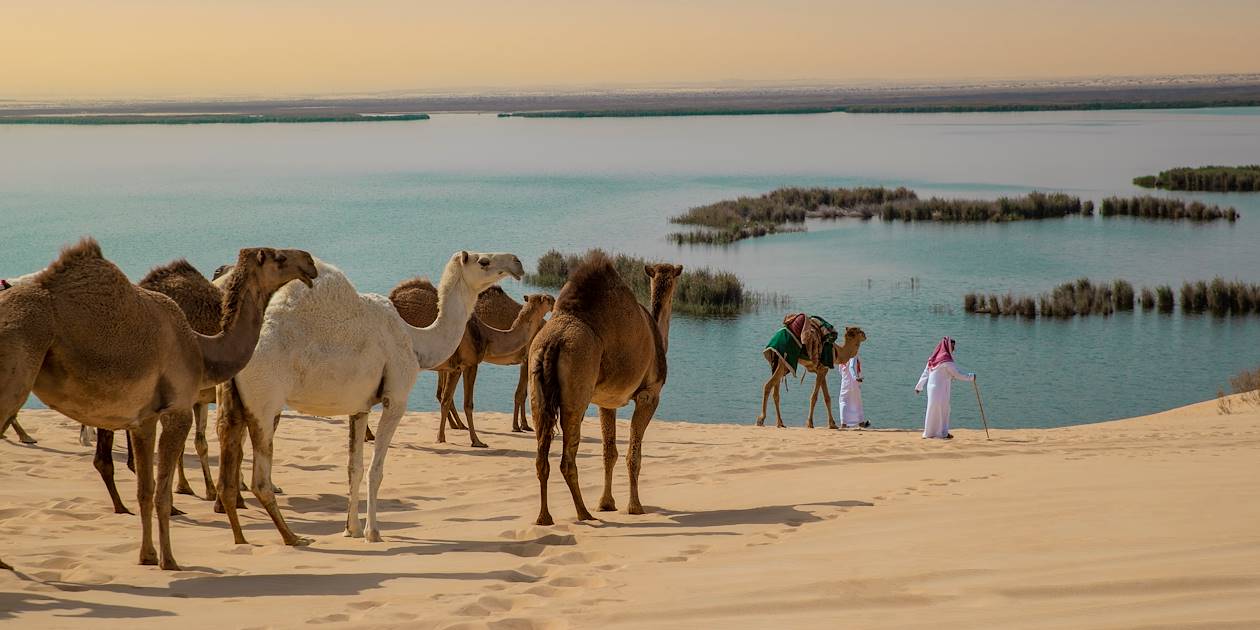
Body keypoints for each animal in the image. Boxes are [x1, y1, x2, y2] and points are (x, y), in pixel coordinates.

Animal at [0, 236, 315, 572]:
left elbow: (145, 490)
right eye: (280, 257)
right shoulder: (178, 411)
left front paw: (147, 555)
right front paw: (169, 560)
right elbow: (162, 491)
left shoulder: (144, 420)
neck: (203, 350)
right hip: (17, 371)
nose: (310, 262)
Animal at [216, 248, 521, 544]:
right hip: (264, 403)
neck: (415, 341)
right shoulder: (395, 399)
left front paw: (350, 529)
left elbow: (355, 467)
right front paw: (372, 532)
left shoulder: (359, 407)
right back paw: (293, 538)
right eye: (484, 261)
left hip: (234, 403)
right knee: (261, 479)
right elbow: (376, 469)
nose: (516, 263)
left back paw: (241, 538)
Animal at [390, 280, 554, 448]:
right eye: (547, 299)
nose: (554, 300)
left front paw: (442, 437)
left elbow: (446, 399)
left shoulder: (456, 368)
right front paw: (476, 441)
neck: (487, 335)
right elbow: (468, 403)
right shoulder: (472, 364)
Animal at [524, 253, 680, 524]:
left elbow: (609, 453)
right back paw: (583, 513)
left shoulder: (606, 402)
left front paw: (606, 503)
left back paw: (545, 517)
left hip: (537, 385)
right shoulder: (649, 395)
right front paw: (635, 507)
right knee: (567, 457)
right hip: (578, 385)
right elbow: (633, 455)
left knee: (541, 455)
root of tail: (553, 342)